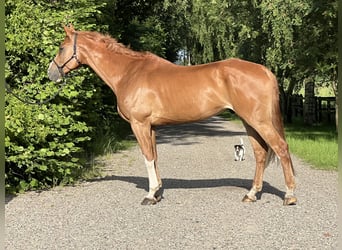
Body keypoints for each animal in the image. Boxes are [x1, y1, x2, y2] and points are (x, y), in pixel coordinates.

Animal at [48, 24, 296, 205]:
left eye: (61, 47)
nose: (51, 73)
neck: (129, 72)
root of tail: (265, 70)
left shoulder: (139, 125)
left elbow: (147, 157)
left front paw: (150, 195)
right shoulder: (151, 127)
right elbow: (155, 157)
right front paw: (157, 192)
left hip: (259, 121)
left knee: (281, 149)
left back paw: (290, 195)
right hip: (250, 122)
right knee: (261, 153)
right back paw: (251, 194)